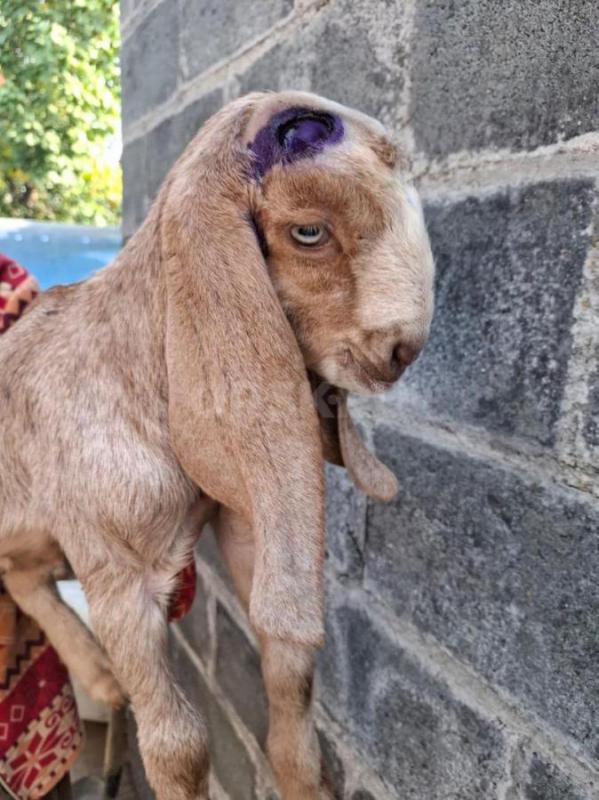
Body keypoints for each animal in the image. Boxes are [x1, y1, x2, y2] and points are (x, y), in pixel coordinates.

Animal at [0, 91, 434, 799]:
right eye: (308, 232)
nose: (401, 352)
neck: (140, 367)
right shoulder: (115, 570)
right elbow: (178, 744)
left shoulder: (242, 521)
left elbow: (291, 677)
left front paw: (305, 778)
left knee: (21, 574)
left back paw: (98, 677)